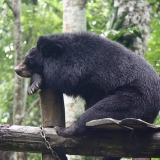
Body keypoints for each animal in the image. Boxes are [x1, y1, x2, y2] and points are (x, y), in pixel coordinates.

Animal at [14, 32, 159, 138]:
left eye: (28, 59)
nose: (16, 69)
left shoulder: (83, 71)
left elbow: (64, 81)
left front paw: (36, 82)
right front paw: (34, 86)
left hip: (136, 98)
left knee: (99, 111)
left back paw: (64, 130)